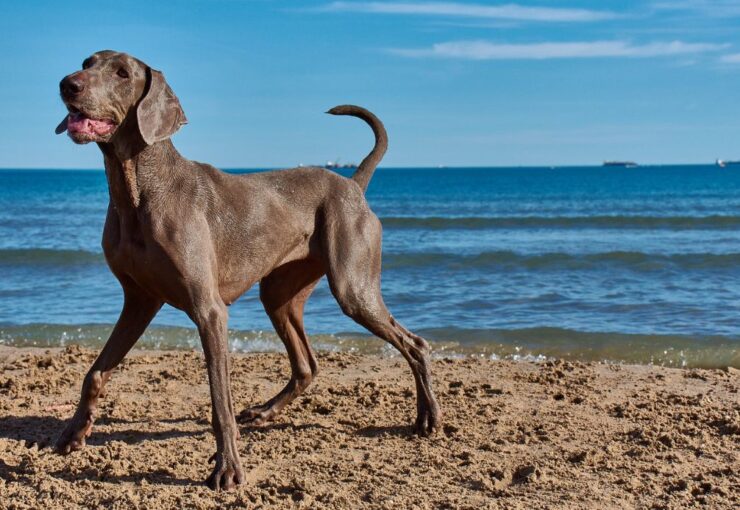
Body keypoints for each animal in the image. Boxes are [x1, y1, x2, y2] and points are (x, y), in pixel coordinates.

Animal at [56, 50, 440, 490]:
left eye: (121, 73)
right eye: (87, 62)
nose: (68, 84)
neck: (137, 189)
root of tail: (352, 185)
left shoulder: (208, 311)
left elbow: (219, 400)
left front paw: (227, 468)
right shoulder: (139, 301)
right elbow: (95, 372)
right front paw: (73, 433)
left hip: (352, 286)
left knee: (414, 343)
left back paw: (428, 417)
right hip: (279, 294)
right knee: (306, 365)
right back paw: (264, 412)